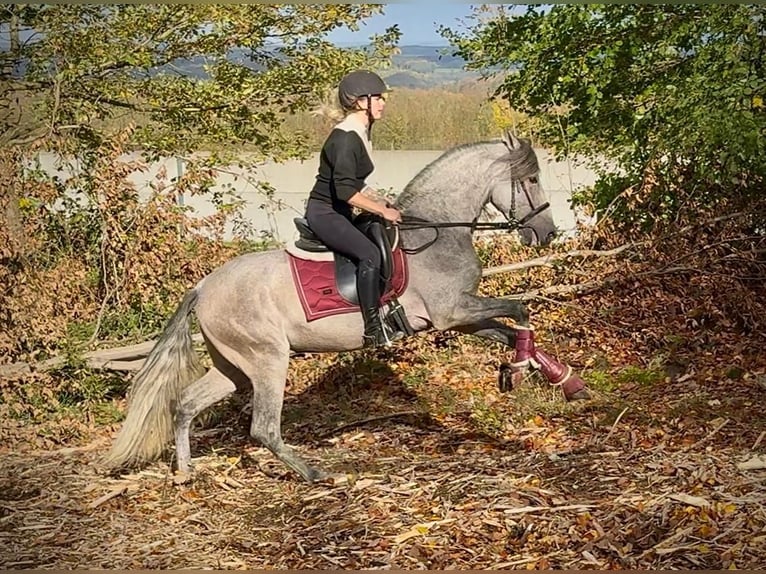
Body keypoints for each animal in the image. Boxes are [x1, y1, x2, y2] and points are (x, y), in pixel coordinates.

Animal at [104, 131, 589, 483]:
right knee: (264, 428)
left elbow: (513, 327)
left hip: (234, 365)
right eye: (531, 180)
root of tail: (203, 287)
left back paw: (185, 471)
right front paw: (522, 371)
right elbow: (521, 311)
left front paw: (561, 380)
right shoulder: (454, 311)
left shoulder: (457, 319)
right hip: (267, 360)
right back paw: (314, 473)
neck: (435, 231)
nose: (547, 233)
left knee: (186, 404)